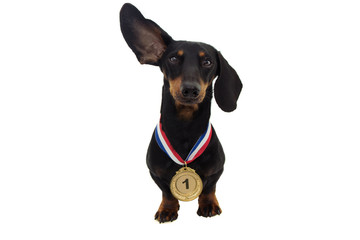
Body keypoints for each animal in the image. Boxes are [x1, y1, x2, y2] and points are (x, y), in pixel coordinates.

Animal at [120, 2, 242, 222]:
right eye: (173, 58)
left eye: (208, 62)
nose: (190, 90)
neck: (185, 128)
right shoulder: (155, 173)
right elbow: (167, 192)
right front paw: (167, 209)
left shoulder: (218, 169)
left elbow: (209, 188)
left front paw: (209, 204)